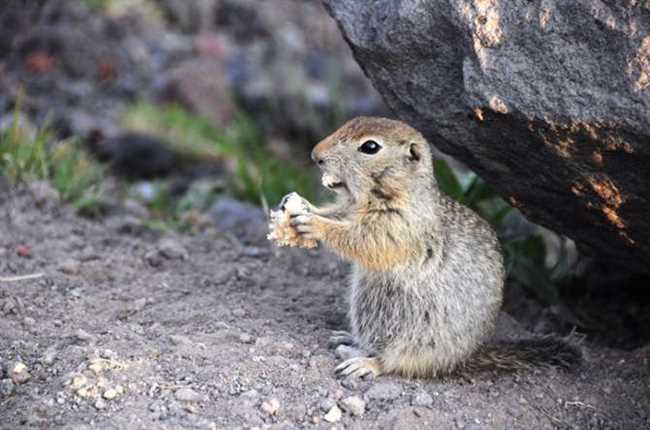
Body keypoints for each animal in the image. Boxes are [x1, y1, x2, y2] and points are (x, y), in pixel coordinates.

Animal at [286, 116, 580, 378]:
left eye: (370, 147)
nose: (315, 154)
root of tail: (464, 358)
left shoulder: (397, 227)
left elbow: (362, 240)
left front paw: (313, 223)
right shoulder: (350, 209)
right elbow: (336, 214)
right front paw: (302, 206)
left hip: (416, 335)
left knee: (396, 362)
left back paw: (363, 363)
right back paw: (348, 339)